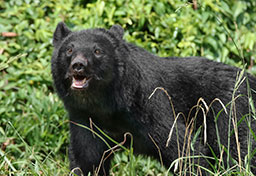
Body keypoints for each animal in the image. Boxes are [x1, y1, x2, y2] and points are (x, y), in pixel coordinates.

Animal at [51, 22, 256, 176]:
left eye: (97, 51)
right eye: (69, 50)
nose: (78, 65)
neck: (105, 104)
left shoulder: (149, 104)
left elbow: (182, 147)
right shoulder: (85, 118)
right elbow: (87, 158)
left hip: (230, 110)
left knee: (238, 148)